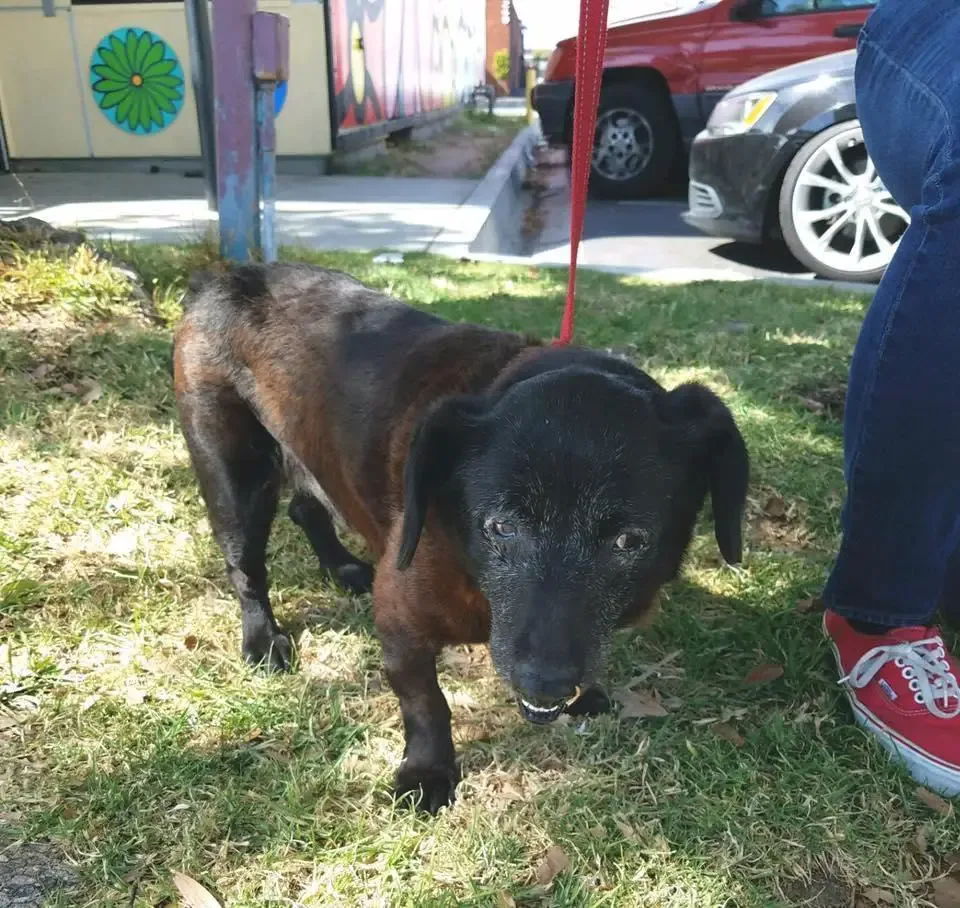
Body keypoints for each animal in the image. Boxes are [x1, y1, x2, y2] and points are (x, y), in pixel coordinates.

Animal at [176, 258, 752, 812]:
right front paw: (428, 772)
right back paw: (262, 640)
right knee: (246, 567)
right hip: (234, 477)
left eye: (630, 541)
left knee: (305, 507)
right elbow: (426, 703)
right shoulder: (401, 622)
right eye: (501, 526)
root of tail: (222, 279)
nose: (545, 682)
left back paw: (342, 567)